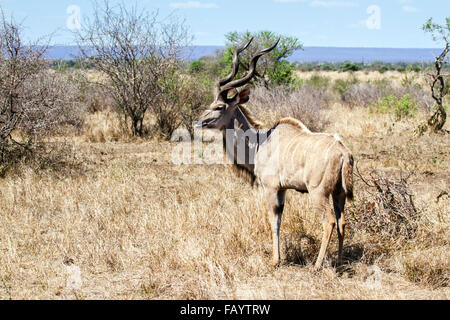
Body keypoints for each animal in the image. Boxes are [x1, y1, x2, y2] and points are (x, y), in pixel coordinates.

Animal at [197, 37, 356, 270]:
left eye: (219, 106)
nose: (198, 122)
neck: (260, 142)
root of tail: (343, 152)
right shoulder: (283, 190)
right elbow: (280, 219)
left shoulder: (271, 188)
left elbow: (273, 221)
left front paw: (275, 260)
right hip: (340, 193)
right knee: (342, 221)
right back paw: (339, 262)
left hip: (319, 193)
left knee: (329, 222)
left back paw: (317, 266)